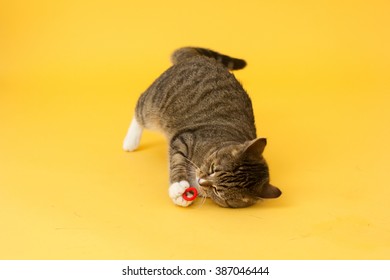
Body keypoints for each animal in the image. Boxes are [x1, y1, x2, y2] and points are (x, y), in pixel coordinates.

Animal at [123, 46, 282, 208]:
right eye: (213, 168)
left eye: (218, 191)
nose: (201, 181)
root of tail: (198, 57)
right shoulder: (185, 138)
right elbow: (177, 159)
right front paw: (177, 186)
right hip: (155, 102)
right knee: (140, 109)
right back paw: (130, 141)